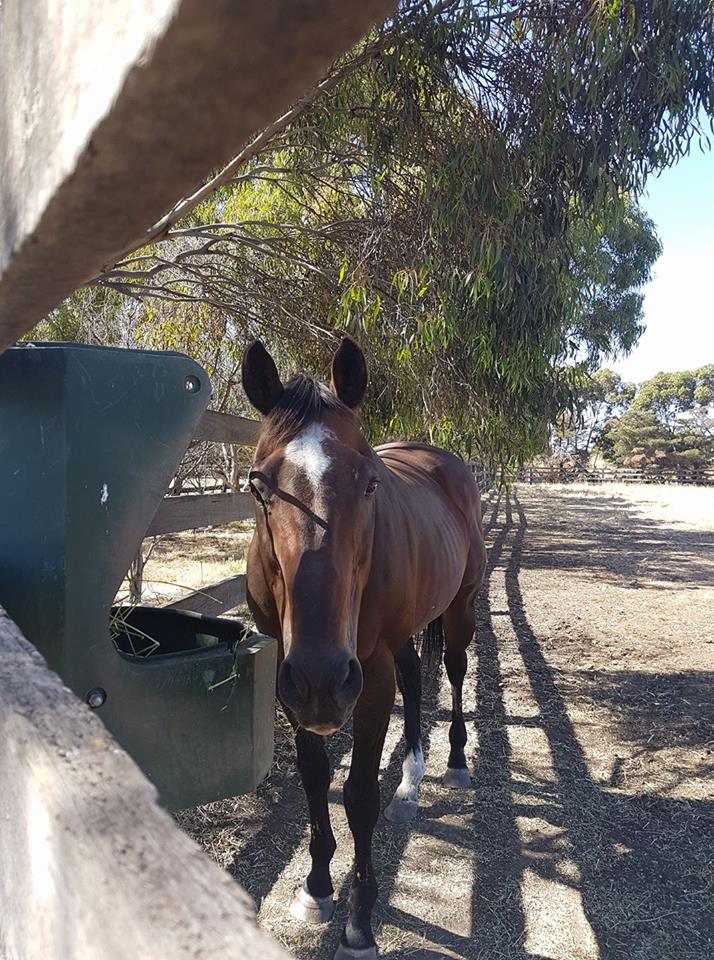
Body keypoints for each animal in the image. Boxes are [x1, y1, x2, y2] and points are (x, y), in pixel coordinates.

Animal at [241, 334, 484, 956]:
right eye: (257, 486)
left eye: (370, 482)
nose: (324, 678)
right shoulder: (291, 678)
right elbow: (314, 775)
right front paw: (316, 886)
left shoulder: (367, 674)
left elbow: (357, 796)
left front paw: (358, 919)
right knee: (417, 679)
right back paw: (411, 781)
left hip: (459, 607)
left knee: (452, 670)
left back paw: (452, 761)